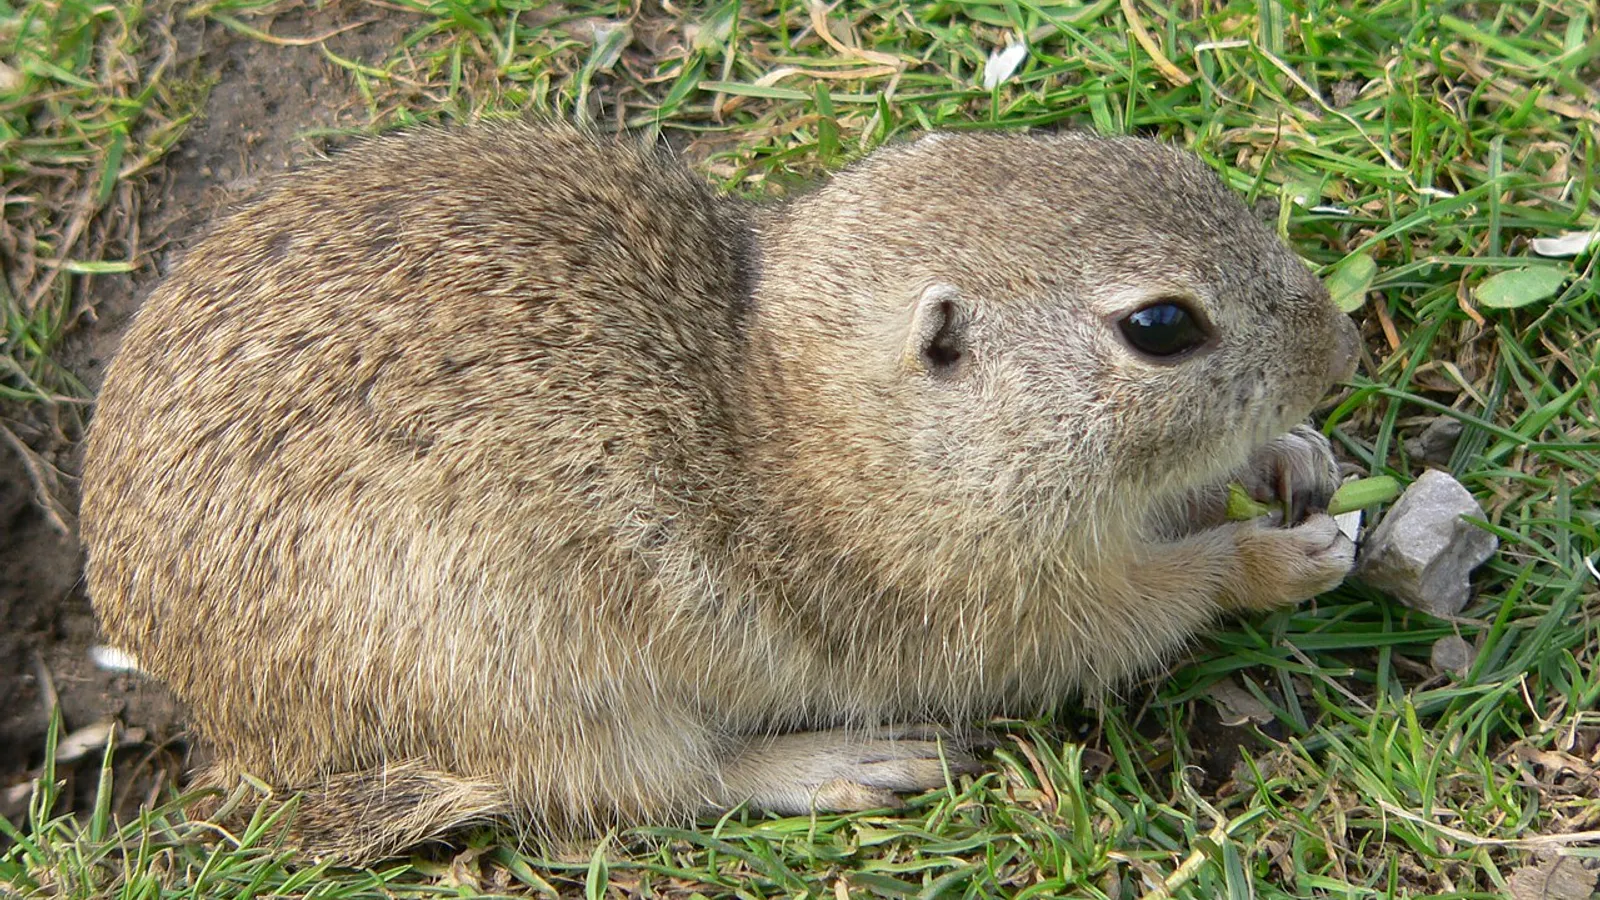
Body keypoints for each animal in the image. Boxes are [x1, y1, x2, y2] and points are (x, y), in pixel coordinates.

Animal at [81, 123, 1359, 860]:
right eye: (1160, 327)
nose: (1338, 351)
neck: (828, 422)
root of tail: (231, 724)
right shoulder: (997, 609)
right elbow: (1158, 600)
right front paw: (1284, 558)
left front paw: (1293, 459)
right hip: (532, 681)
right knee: (651, 789)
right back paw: (849, 765)